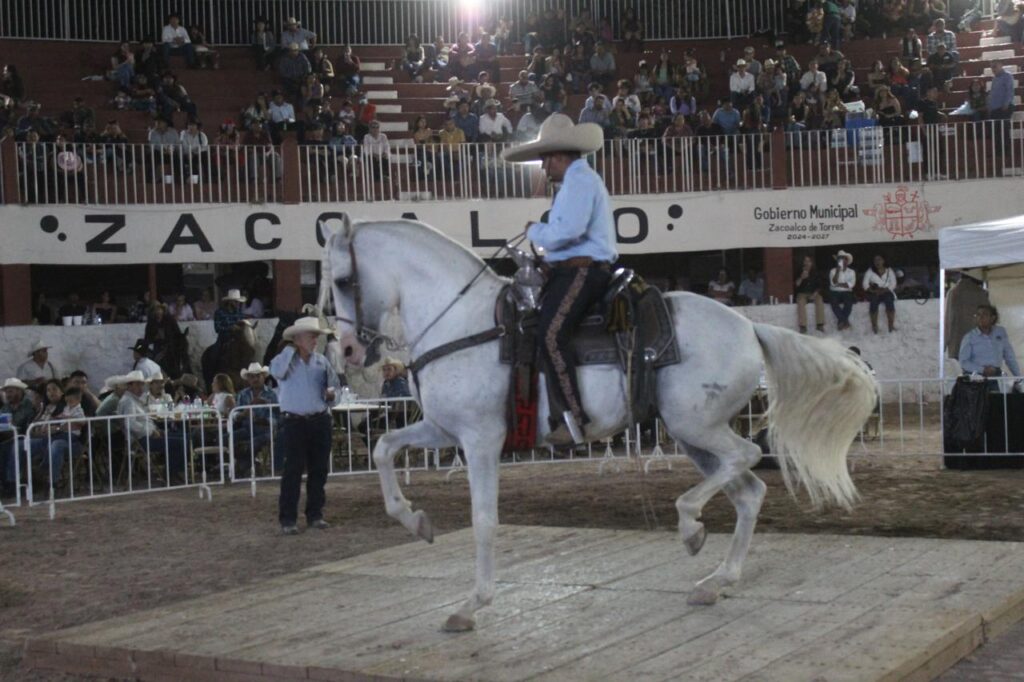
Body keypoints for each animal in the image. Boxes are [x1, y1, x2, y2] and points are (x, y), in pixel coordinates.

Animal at [321, 216, 877, 632]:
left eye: (345, 281)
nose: (346, 351)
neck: (463, 323)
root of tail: (748, 326)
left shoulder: (481, 439)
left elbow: (483, 520)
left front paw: (470, 605)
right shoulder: (442, 430)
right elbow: (383, 447)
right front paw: (415, 521)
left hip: (696, 426)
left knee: (749, 457)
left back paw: (689, 526)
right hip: (693, 436)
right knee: (749, 492)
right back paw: (716, 579)